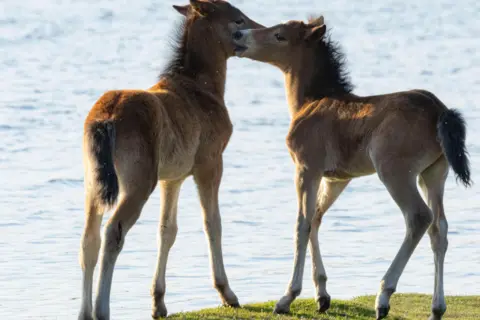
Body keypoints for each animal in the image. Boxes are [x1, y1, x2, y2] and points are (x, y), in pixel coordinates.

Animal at [234, 15, 470, 320]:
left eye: (279, 36)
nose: (238, 35)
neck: (310, 101)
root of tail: (439, 110)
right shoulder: (337, 179)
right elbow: (316, 218)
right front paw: (322, 295)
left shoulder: (306, 168)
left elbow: (302, 223)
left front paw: (287, 297)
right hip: (433, 173)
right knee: (439, 228)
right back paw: (436, 308)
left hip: (394, 171)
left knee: (418, 217)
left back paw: (383, 297)